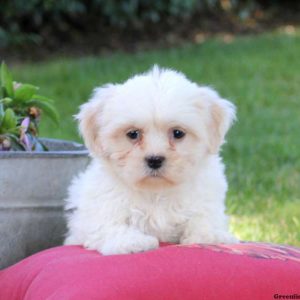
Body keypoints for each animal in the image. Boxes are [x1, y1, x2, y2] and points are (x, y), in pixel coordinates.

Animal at [64, 66, 238, 255]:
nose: (154, 160)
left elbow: (204, 217)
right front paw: (131, 242)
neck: (156, 192)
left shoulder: (206, 198)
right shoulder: (99, 209)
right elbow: (109, 225)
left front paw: (211, 236)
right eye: (133, 134)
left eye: (178, 133)